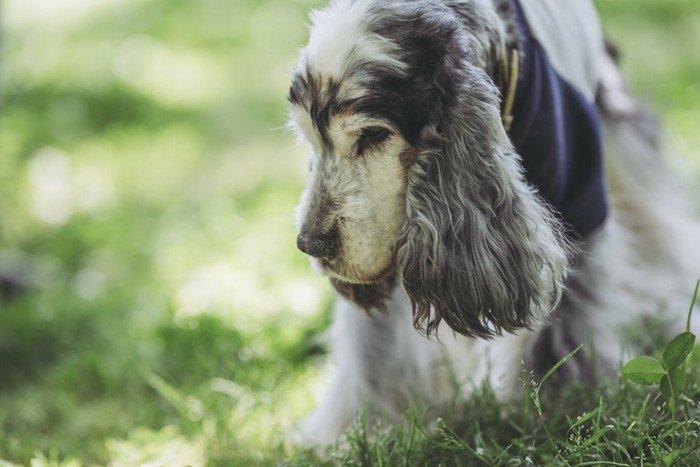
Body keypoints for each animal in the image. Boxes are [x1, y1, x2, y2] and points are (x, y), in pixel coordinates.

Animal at [286, 0, 700, 446]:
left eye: (373, 135)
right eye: (309, 140)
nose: (310, 243)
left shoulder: (577, 201)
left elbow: (563, 326)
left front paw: (561, 407)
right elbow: (373, 346)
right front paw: (355, 430)